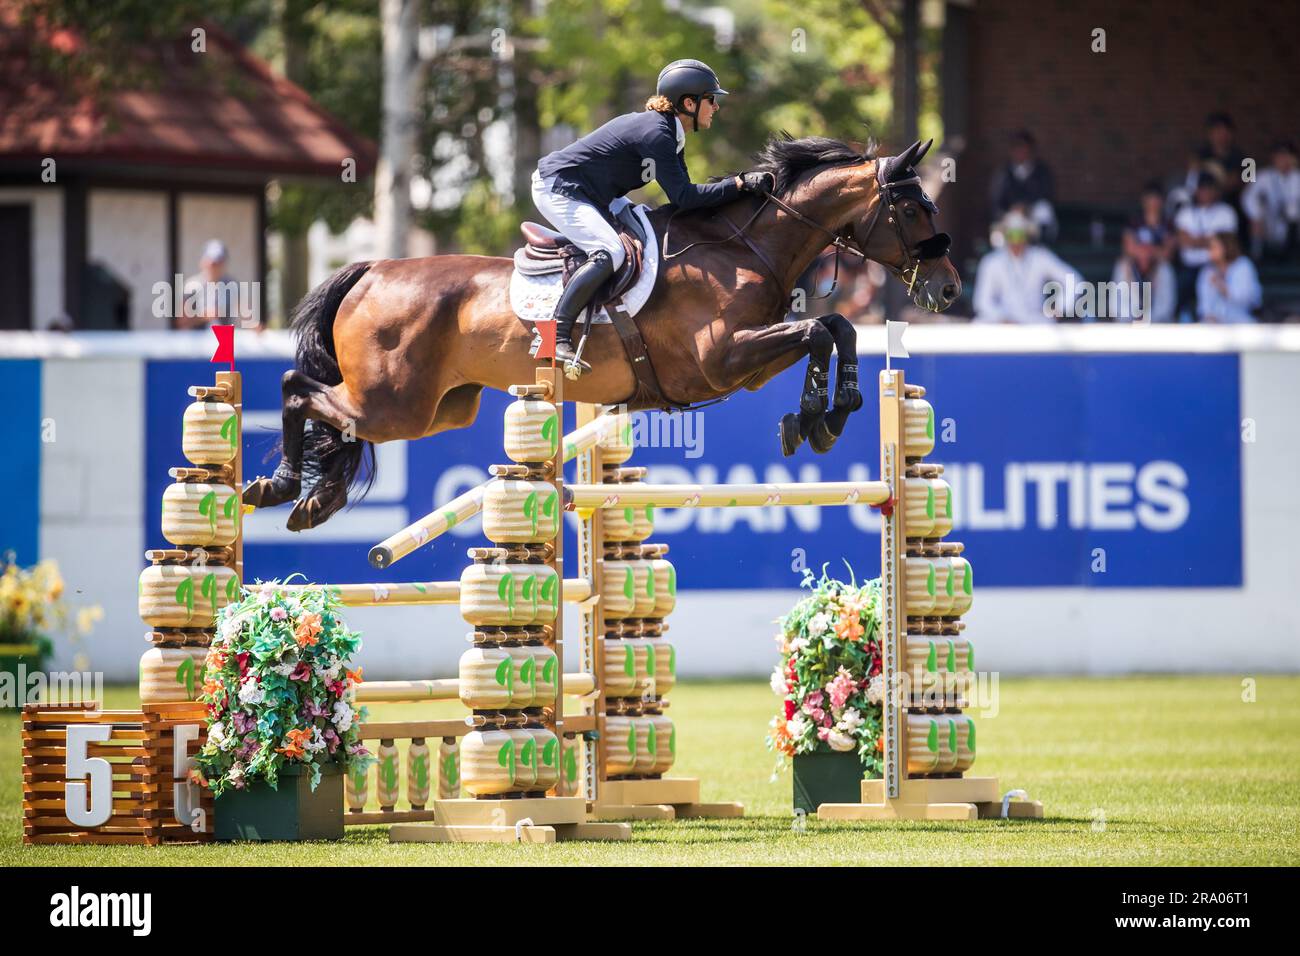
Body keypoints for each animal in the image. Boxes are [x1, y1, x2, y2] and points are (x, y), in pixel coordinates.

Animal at [244, 132, 961, 530]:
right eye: (913, 208)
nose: (950, 288)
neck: (740, 247)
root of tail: (371, 270)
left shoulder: (747, 361)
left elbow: (836, 327)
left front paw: (830, 413)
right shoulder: (721, 359)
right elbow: (817, 332)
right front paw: (815, 418)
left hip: (438, 409)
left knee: (335, 417)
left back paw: (316, 498)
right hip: (394, 400)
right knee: (297, 387)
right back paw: (279, 486)